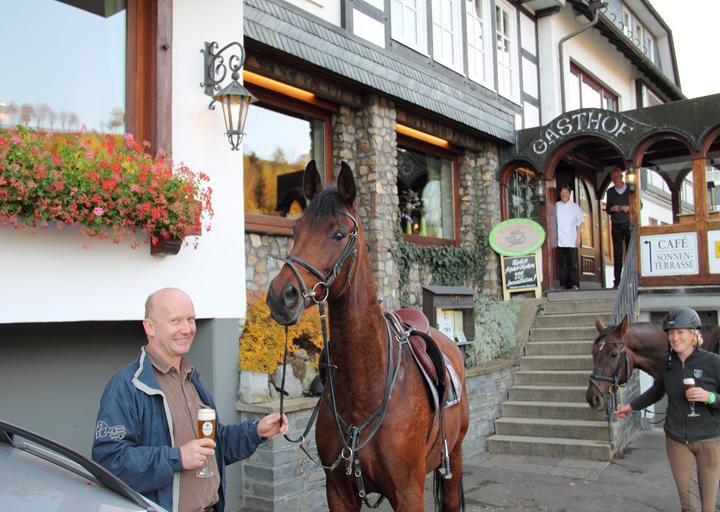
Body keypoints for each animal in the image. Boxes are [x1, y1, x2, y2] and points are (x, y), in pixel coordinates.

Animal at [268, 162, 470, 510]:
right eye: (295, 229)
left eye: (338, 234)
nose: (282, 296)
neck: (365, 391)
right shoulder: (338, 491)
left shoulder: (408, 492)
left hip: (454, 457)